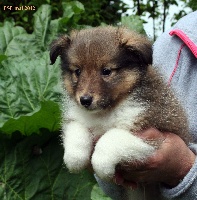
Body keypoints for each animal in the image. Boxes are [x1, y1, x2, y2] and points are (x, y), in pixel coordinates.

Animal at [50, 26, 190, 200]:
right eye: (77, 71)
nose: (85, 100)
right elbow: (77, 130)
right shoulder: (79, 117)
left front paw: (101, 165)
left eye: (106, 71)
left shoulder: (154, 134)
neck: (106, 111)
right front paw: (74, 159)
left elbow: (112, 137)